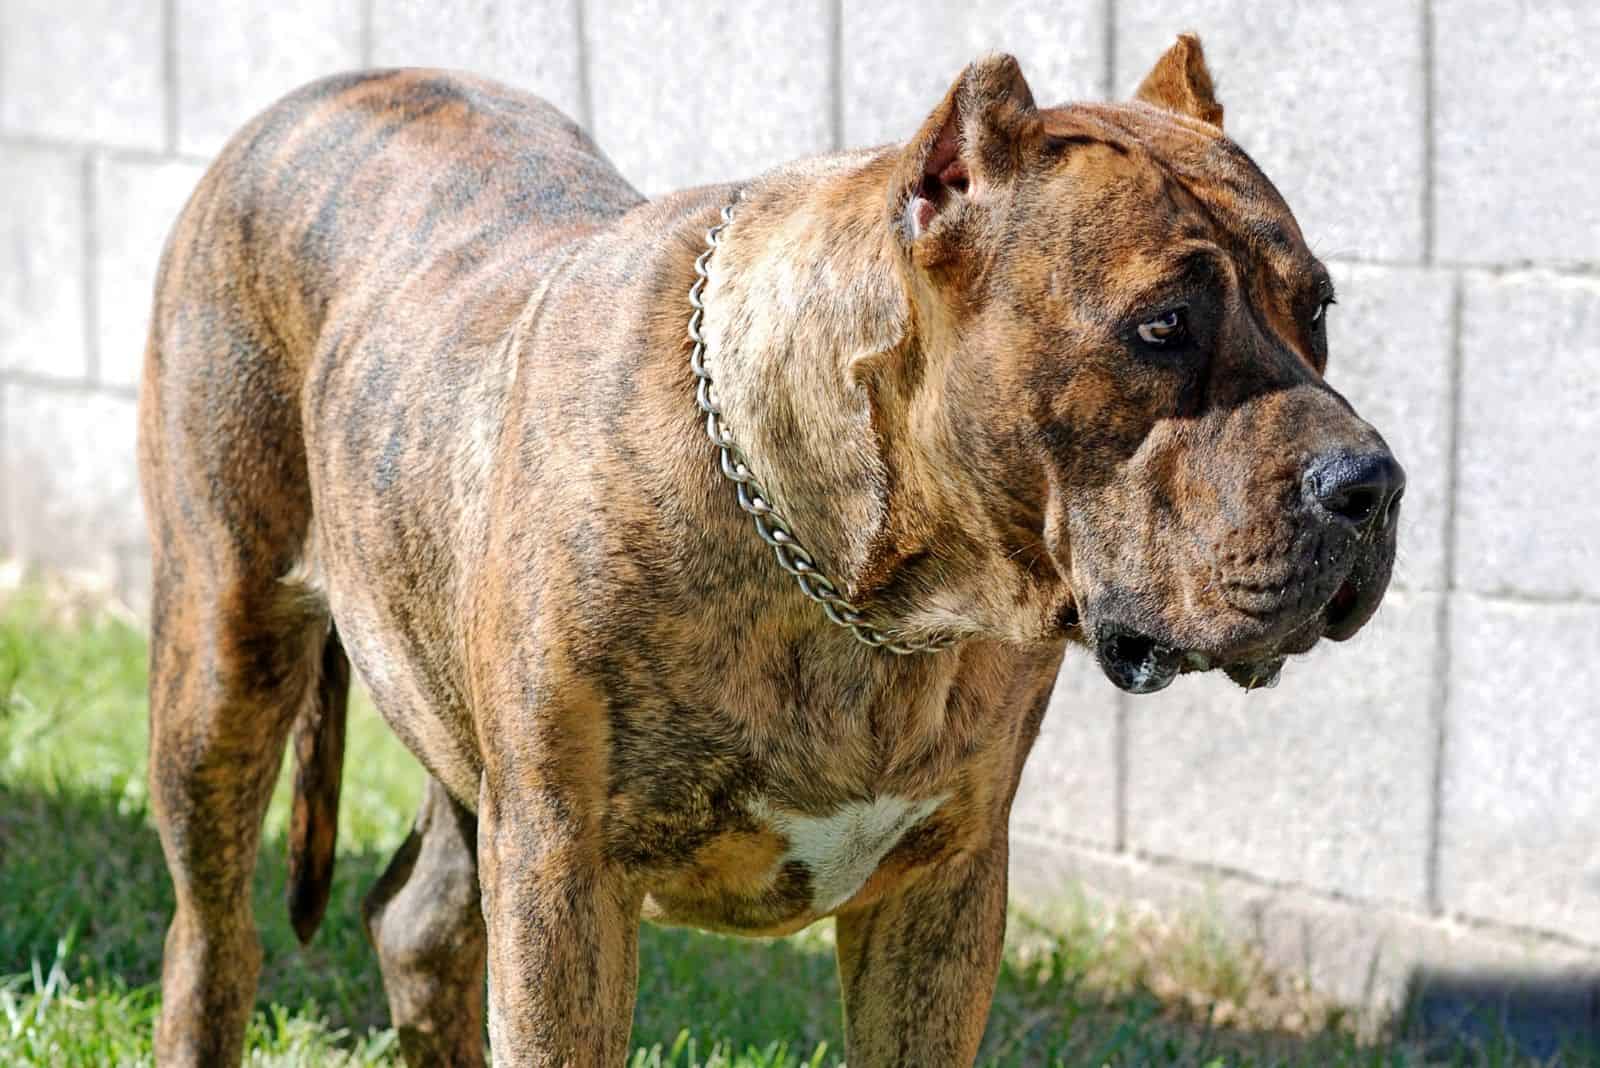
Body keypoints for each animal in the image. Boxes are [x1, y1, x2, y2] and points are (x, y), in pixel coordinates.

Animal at [144, 33, 1408, 1068]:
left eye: (1317, 310)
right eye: (1161, 328)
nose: (1371, 483)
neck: (867, 595)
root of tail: (331, 87)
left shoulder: (943, 893)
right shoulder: (564, 879)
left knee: (416, 925)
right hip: (222, 664)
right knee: (215, 938)